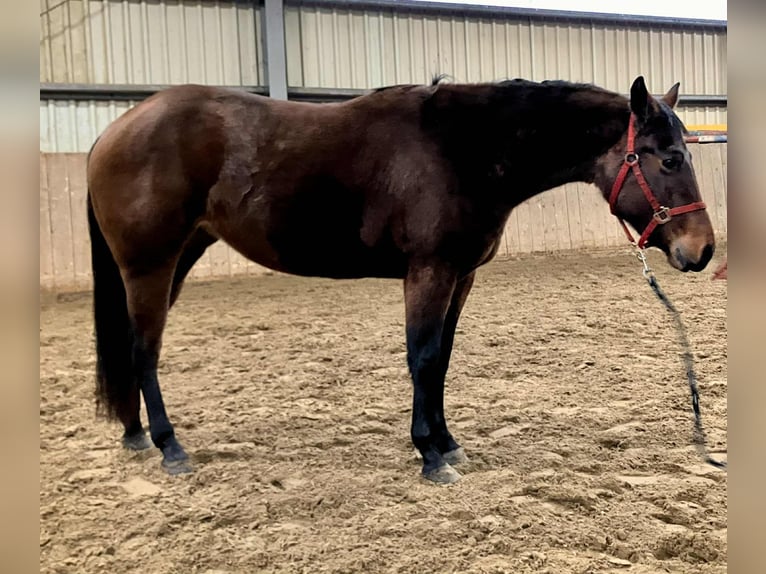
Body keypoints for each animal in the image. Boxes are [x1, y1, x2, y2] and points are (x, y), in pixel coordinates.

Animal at [85, 75, 715, 484]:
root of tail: (114, 130)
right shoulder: (429, 271)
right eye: (667, 159)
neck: (463, 149)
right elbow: (422, 356)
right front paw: (429, 456)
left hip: (177, 258)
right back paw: (169, 447)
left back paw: (135, 435)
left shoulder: (460, 276)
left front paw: (447, 444)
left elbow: (442, 360)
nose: (702, 250)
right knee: (143, 351)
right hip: (150, 265)